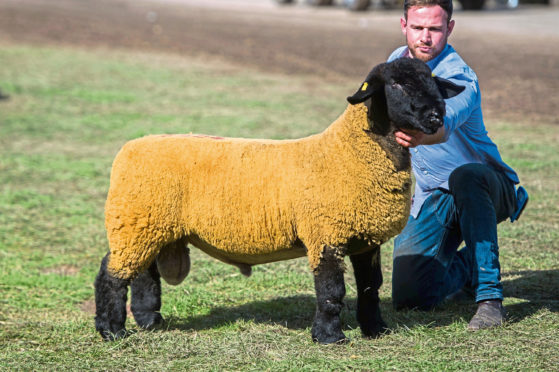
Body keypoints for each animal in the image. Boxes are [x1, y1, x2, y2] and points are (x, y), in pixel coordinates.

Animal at [94, 58, 466, 342]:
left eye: (432, 81)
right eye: (397, 85)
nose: (436, 116)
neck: (346, 152)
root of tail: (130, 147)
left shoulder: (365, 239)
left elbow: (370, 288)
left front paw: (375, 330)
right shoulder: (326, 234)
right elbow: (331, 292)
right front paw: (329, 337)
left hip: (148, 227)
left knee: (143, 274)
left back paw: (149, 321)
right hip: (134, 224)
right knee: (111, 276)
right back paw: (111, 331)